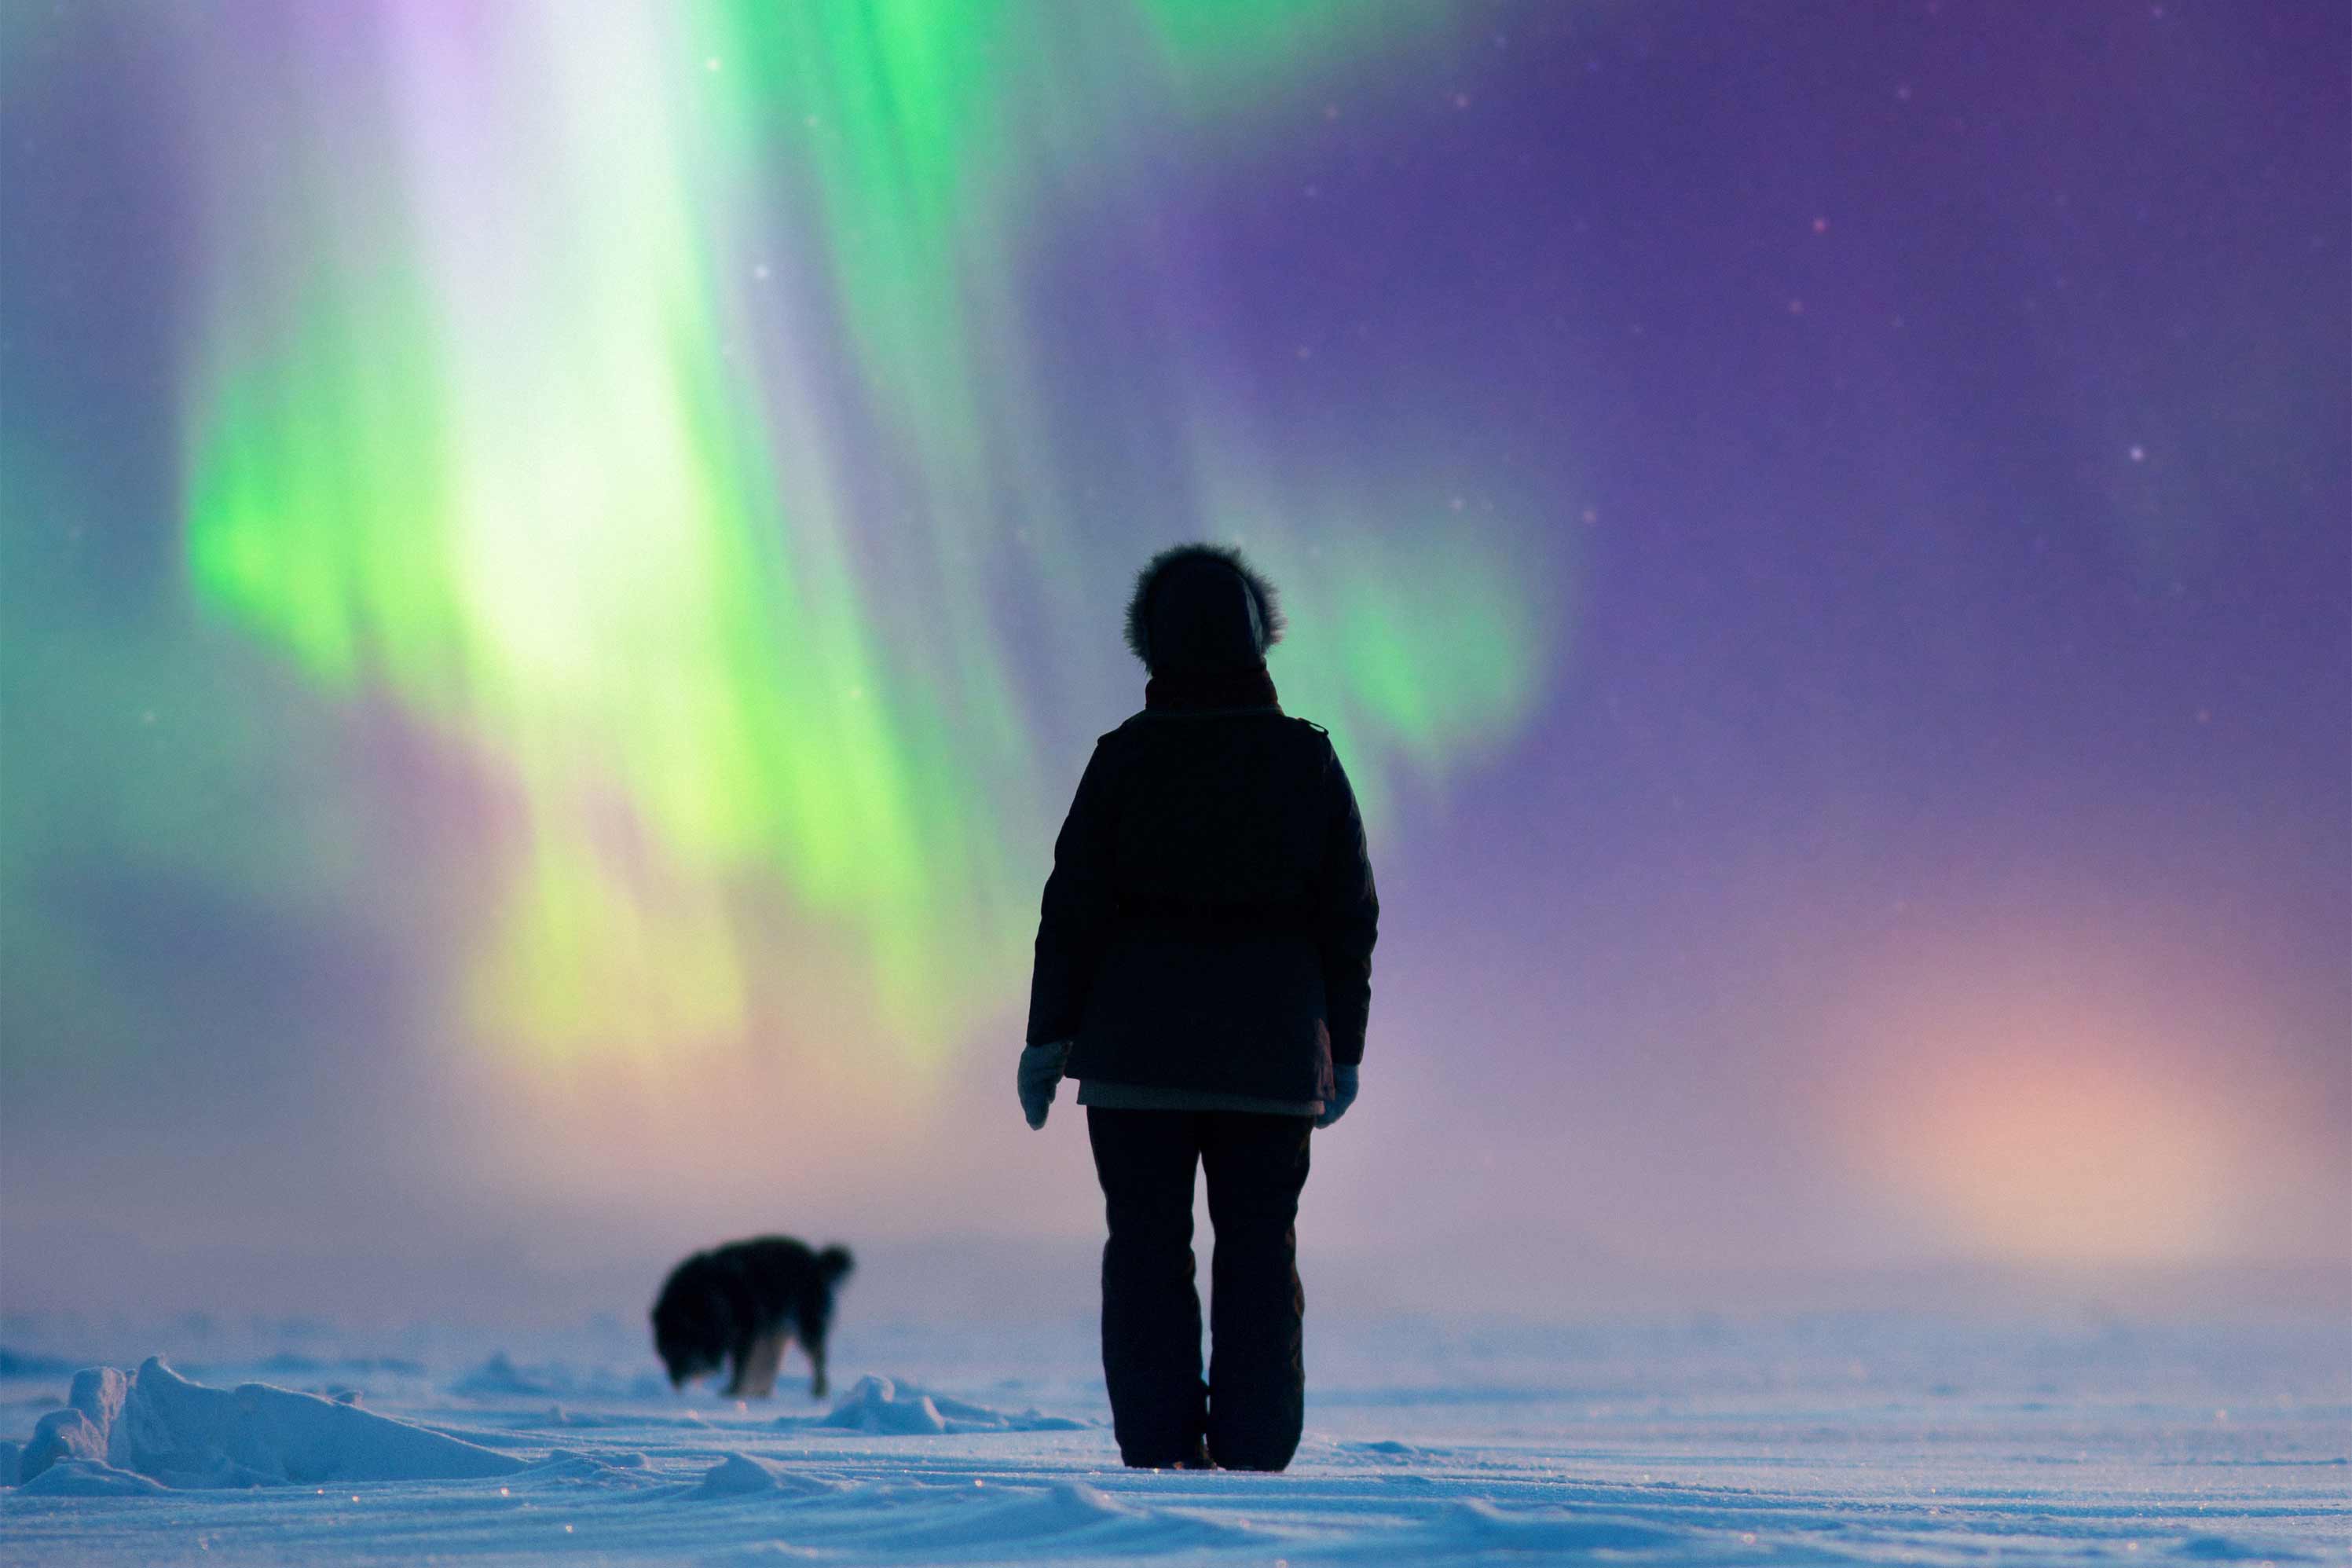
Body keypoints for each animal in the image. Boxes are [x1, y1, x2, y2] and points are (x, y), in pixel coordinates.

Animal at [654, 1241, 855, 1401]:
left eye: (681, 1348)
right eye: (666, 1352)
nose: (675, 1381)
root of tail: (817, 1261)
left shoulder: (745, 1334)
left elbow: (740, 1367)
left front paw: (732, 1391)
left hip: (805, 1328)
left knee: (817, 1360)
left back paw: (818, 1391)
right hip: (775, 1334)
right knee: (771, 1365)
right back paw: (763, 1393)